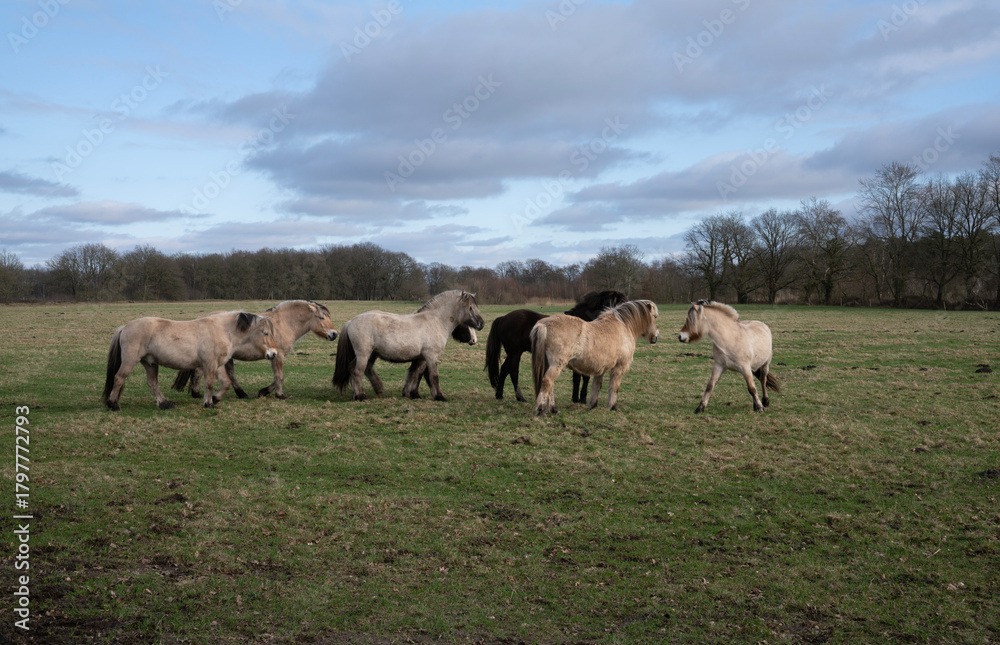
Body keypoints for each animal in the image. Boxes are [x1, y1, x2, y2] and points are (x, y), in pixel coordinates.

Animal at [102, 311, 278, 411]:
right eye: (265, 333)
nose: (274, 353)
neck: (222, 330)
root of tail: (125, 327)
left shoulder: (217, 365)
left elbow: (226, 383)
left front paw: (215, 398)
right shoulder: (209, 365)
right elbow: (209, 384)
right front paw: (209, 403)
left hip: (150, 363)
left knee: (152, 383)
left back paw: (164, 404)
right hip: (130, 361)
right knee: (118, 378)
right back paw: (113, 404)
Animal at [171, 300, 338, 400]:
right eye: (321, 318)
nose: (334, 334)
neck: (284, 323)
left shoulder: (274, 355)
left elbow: (277, 377)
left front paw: (263, 391)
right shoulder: (278, 356)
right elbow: (280, 376)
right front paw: (280, 395)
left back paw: (241, 394)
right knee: (200, 372)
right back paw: (197, 394)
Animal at [332, 290, 485, 401]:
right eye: (470, 308)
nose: (481, 324)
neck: (436, 321)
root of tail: (351, 322)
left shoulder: (422, 358)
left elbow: (415, 374)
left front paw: (413, 394)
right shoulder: (431, 356)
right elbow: (434, 376)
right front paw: (440, 396)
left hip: (371, 354)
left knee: (357, 369)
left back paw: (364, 392)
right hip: (363, 354)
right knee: (358, 371)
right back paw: (360, 396)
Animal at [483, 290, 626, 403]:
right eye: (620, 303)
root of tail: (503, 318)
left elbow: (577, 378)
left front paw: (576, 398)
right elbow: (584, 377)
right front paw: (582, 399)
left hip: (513, 353)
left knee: (504, 370)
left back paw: (499, 395)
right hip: (515, 353)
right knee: (513, 373)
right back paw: (520, 397)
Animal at [531, 300, 659, 416]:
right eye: (654, 317)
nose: (656, 337)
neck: (624, 326)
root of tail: (544, 324)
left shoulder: (601, 369)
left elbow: (596, 386)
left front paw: (593, 405)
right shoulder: (619, 367)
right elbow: (614, 387)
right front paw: (613, 407)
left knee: (550, 386)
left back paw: (553, 410)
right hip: (556, 365)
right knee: (548, 381)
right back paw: (541, 410)